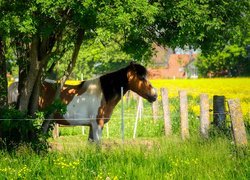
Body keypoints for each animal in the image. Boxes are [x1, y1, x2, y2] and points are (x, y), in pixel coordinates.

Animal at [11, 62, 158, 142]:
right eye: (141, 77)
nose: (154, 95)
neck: (102, 92)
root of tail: (16, 86)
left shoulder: (91, 126)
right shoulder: (98, 124)